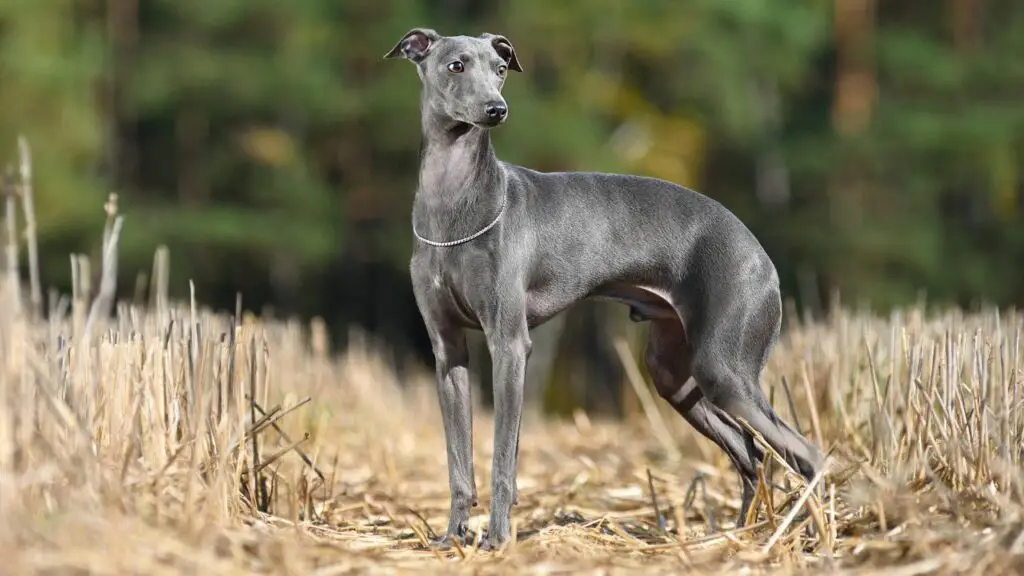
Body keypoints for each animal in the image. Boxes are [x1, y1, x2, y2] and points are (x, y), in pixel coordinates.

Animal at [385, 25, 823, 545]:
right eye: (456, 65)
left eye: (500, 68)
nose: (497, 109)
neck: (453, 205)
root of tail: (761, 254)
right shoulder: (447, 350)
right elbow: (458, 460)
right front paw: (453, 537)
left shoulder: (509, 345)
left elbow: (503, 458)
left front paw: (497, 539)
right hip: (675, 376)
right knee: (750, 453)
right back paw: (737, 537)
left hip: (725, 368)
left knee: (805, 453)